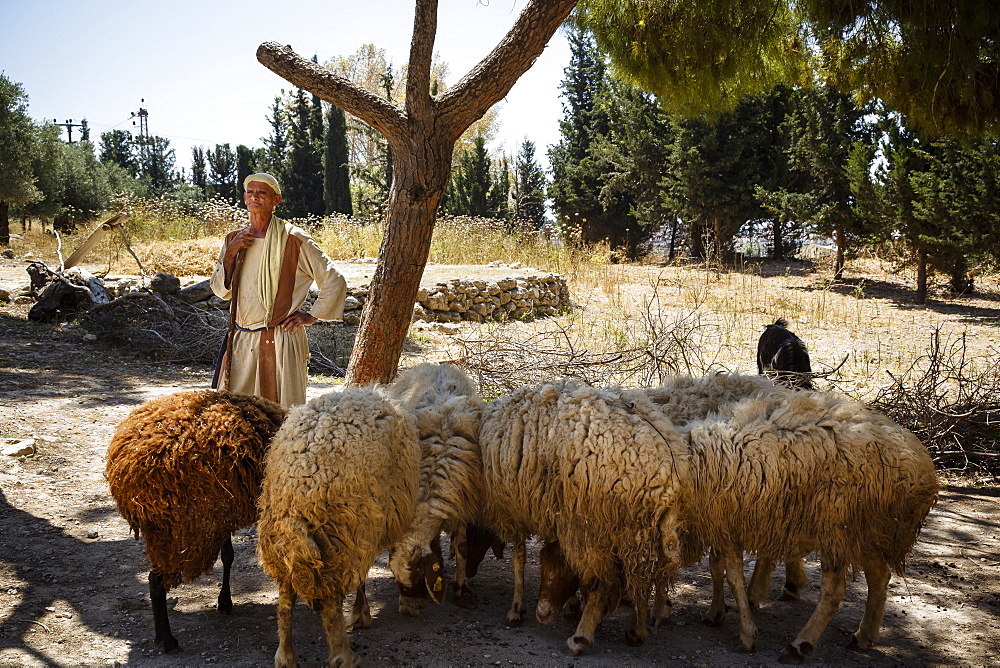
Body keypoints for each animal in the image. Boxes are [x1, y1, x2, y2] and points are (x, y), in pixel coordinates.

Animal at [106, 388, 286, 656]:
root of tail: (126, 468)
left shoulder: (222, 517)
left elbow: (228, 555)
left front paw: (225, 601)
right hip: (179, 530)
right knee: (156, 581)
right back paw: (167, 640)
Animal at [256, 386, 424, 668]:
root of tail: (295, 493)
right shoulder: (377, 520)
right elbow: (384, 567)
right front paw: (366, 613)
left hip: (283, 544)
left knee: (285, 600)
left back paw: (285, 655)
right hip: (339, 536)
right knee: (331, 603)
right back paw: (343, 655)